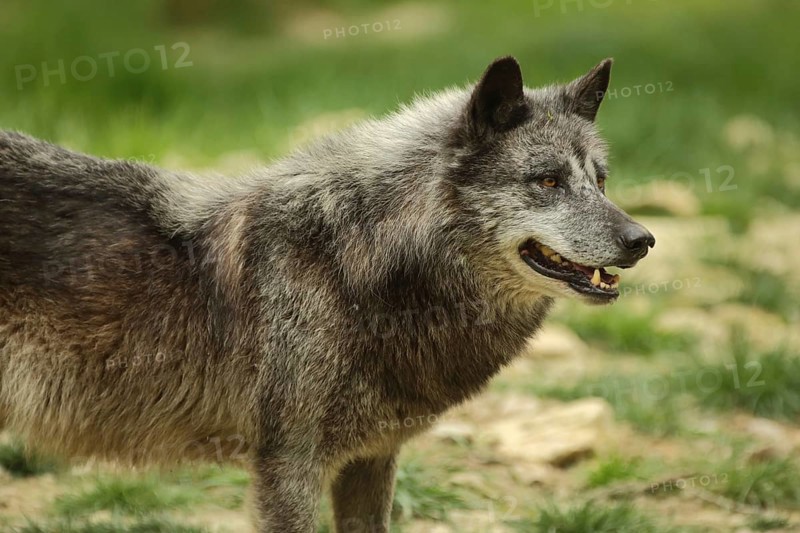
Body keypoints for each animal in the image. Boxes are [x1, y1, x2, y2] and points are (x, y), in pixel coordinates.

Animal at [0, 56, 653, 532]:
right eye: (547, 181)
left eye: (599, 180)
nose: (642, 240)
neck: (355, 263)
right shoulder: (288, 469)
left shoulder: (371, 459)